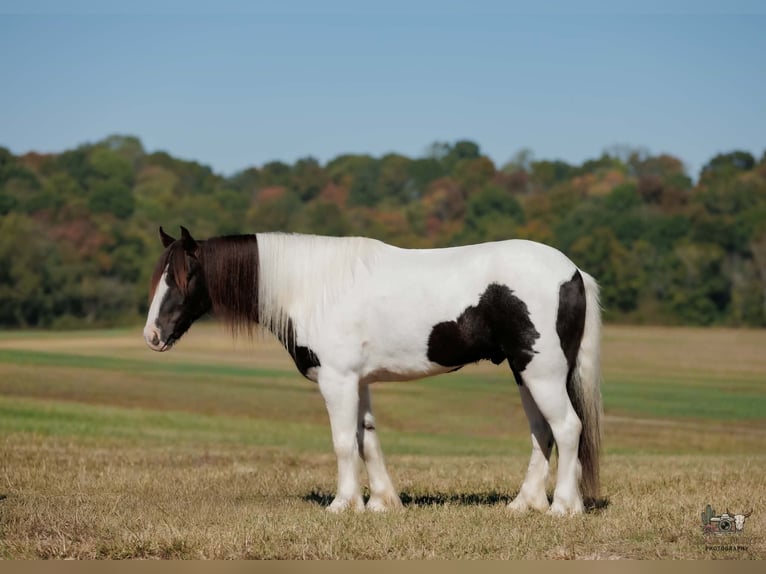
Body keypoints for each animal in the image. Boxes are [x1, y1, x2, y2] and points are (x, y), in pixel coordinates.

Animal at [144, 226, 602, 515]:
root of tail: (573, 272)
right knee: (543, 433)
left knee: (567, 428)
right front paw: (382, 502)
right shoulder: (358, 381)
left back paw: (563, 508)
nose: (152, 335)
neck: (313, 288)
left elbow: (344, 442)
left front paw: (343, 504)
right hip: (526, 373)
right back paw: (526, 504)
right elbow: (368, 440)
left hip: (541, 372)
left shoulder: (338, 380)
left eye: (185, 276)